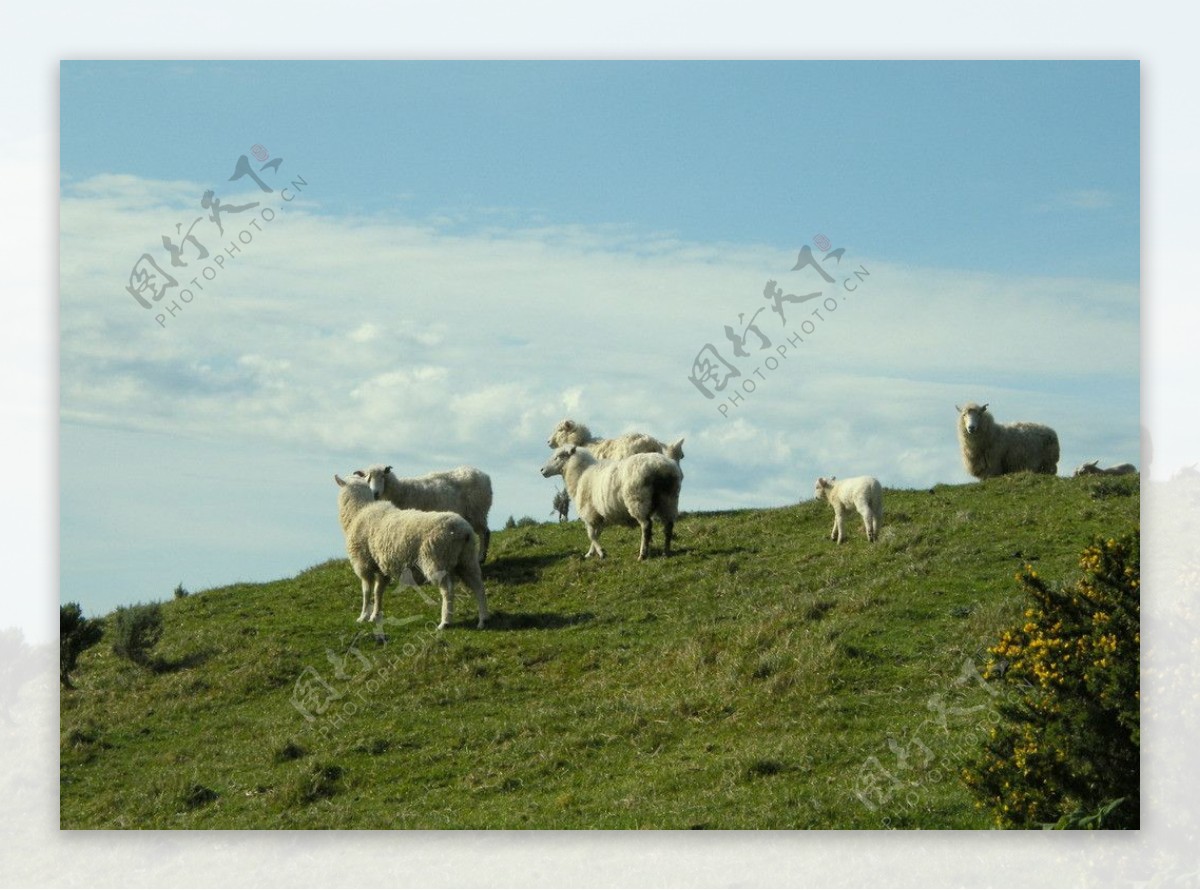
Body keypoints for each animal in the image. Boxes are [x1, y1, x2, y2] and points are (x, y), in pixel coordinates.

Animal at [333, 474, 487, 633]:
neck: (359, 511)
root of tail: (464, 531)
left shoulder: (363, 564)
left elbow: (367, 592)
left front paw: (363, 616)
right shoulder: (381, 566)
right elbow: (378, 591)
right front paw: (375, 615)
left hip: (436, 560)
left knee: (448, 591)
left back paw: (445, 622)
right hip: (467, 560)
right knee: (479, 587)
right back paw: (483, 619)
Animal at [352, 467, 494, 563]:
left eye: (383, 476)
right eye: (368, 479)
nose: (374, 493)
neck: (400, 490)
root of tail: (485, 476)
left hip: (477, 512)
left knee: (485, 533)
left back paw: (481, 557)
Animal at [537, 443, 681, 561]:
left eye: (559, 456)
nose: (542, 470)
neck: (580, 475)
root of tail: (660, 467)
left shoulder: (589, 513)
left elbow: (591, 535)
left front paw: (601, 553)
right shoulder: (600, 516)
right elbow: (597, 534)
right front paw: (590, 553)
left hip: (637, 499)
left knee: (646, 525)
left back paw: (643, 554)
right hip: (669, 499)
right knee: (668, 525)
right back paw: (666, 552)